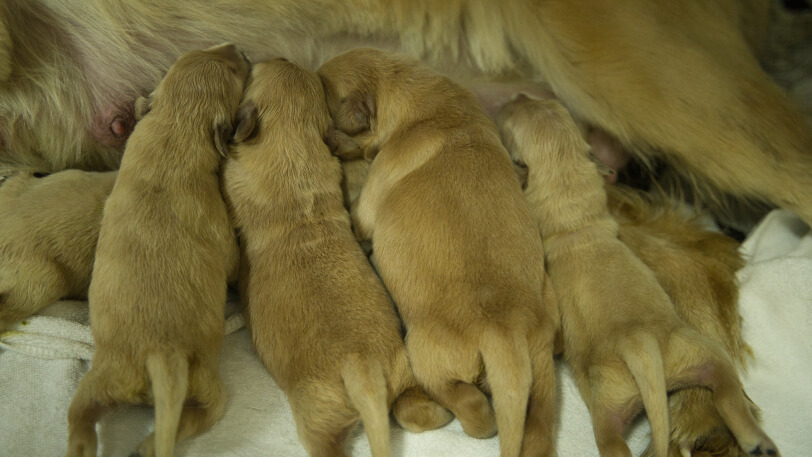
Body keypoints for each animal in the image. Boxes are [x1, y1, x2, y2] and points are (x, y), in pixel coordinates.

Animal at [66, 42, 247, 456]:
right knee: (200, 414)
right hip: (207, 383)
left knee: (80, 418)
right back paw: (147, 444)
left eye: (198, 51)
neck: (174, 132)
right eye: (235, 72)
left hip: (101, 379)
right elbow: (232, 261)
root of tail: (160, 355)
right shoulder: (221, 226)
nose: (236, 47)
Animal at [219, 58, 454, 456]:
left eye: (256, 71)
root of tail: (362, 368)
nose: (280, 57)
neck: (293, 141)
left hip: (317, 411)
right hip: (403, 372)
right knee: (416, 413)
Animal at [318, 47, 560, 456]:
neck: (427, 101)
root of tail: (503, 332)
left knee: (470, 405)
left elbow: (359, 214)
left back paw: (464, 417)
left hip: (425, 351)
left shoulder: (373, 192)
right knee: (537, 426)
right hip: (542, 371)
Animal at [498, 93, 776, 456]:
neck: (575, 214)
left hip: (607, 403)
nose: (515, 95)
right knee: (727, 389)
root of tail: (641, 346)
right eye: (546, 103)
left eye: (509, 121)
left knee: (611, 440)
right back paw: (758, 441)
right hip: (699, 354)